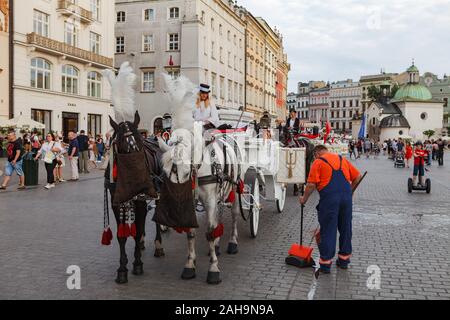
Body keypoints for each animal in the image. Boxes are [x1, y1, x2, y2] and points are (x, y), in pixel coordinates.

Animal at [158, 75, 243, 284]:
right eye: (164, 171)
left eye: (185, 171)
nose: (174, 205)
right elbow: (191, 232)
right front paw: (190, 264)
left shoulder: (210, 198)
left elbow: (210, 232)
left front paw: (213, 269)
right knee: (219, 215)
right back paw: (219, 246)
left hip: (234, 188)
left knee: (233, 215)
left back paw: (232, 242)